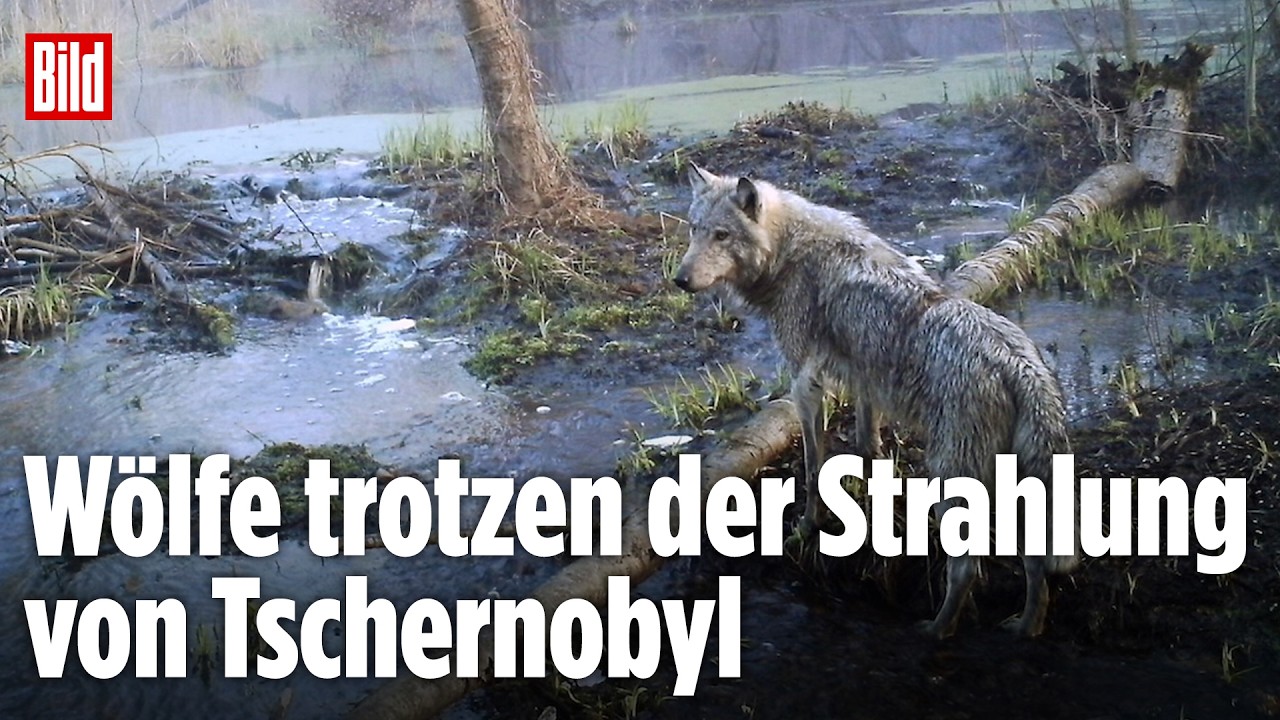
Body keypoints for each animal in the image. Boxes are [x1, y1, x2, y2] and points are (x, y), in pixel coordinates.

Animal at [674, 164, 1076, 638]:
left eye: (722, 235)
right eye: (695, 230)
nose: (680, 280)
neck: (790, 252)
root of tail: (1020, 365)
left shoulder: (806, 383)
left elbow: (813, 466)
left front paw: (807, 528)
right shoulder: (864, 378)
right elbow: (867, 443)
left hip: (952, 481)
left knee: (966, 569)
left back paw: (936, 630)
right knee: (1035, 562)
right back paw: (1026, 627)